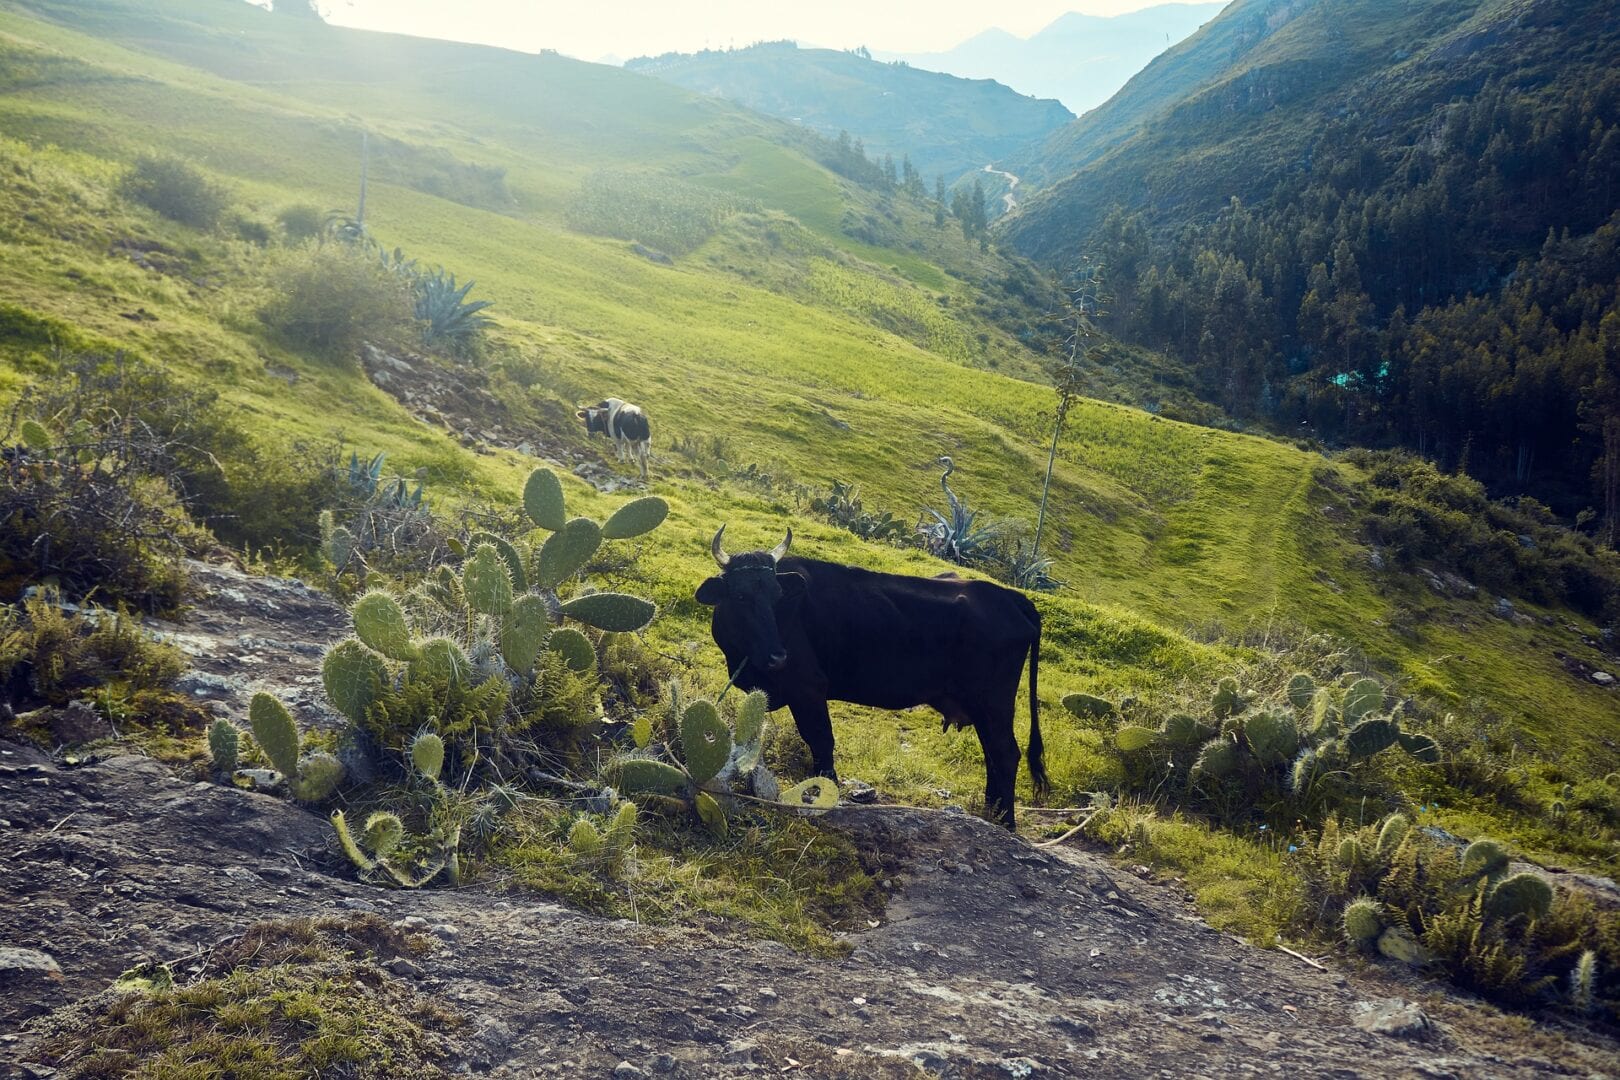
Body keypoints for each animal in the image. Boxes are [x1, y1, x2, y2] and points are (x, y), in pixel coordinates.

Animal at [696, 524, 1049, 829]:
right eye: (741, 597)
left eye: (777, 595)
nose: (778, 656)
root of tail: (1010, 597)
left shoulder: (808, 687)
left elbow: (821, 739)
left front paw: (825, 794)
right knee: (993, 754)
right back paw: (992, 814)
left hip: (993, 703)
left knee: (1005, 753)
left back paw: (1005, 822)